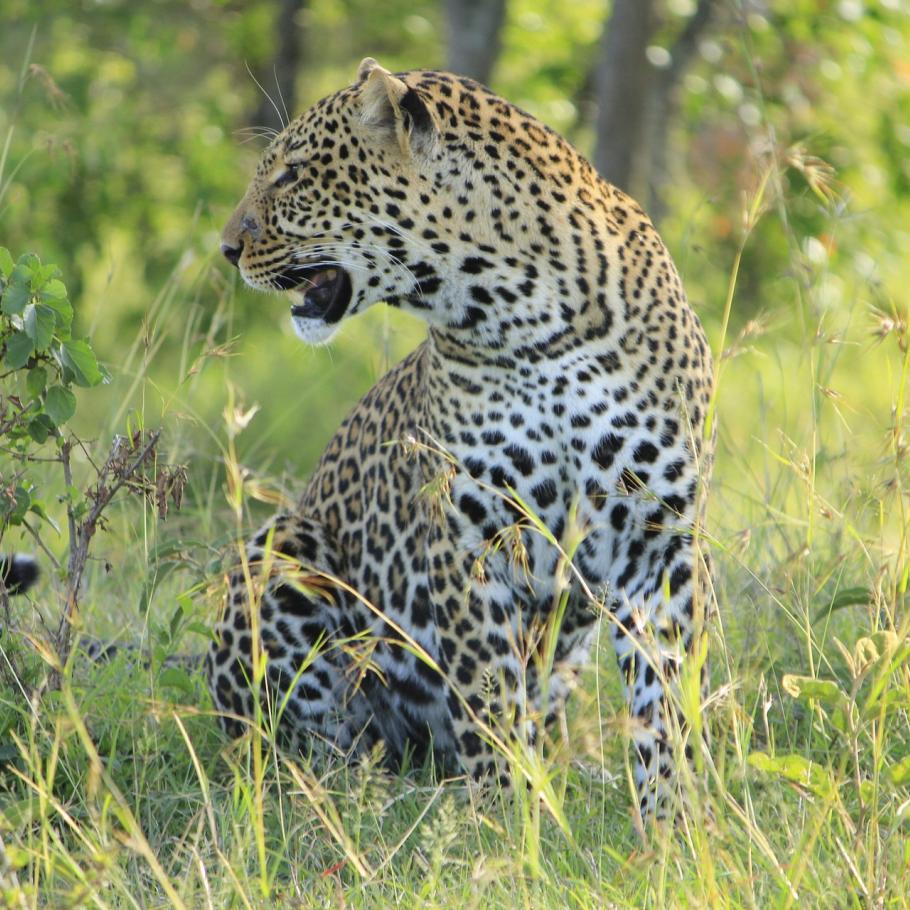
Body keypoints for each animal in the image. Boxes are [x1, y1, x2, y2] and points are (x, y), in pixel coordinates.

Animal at [216, 58, 720, 828]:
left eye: (294, 173)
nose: (226, 249)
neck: (527, 316)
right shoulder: (470, 538)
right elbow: (490, 701)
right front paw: (510, 824)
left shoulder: (658, 541)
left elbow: (665, 703)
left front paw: (675, 825)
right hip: (280, 551)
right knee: (306, 745)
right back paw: (365, 799)